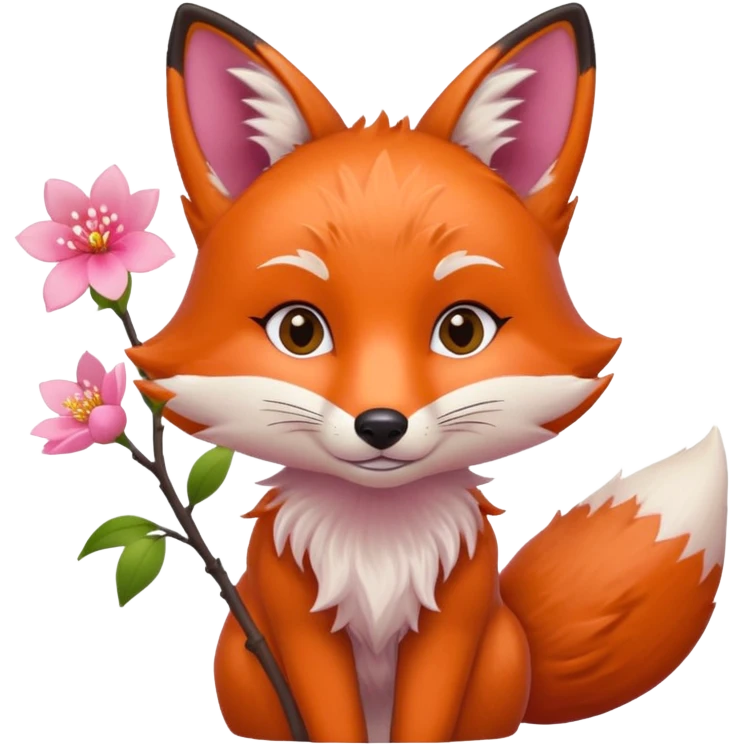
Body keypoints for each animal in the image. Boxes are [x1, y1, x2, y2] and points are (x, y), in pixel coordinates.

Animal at [126, 2, 730, 742]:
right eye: (299, 331)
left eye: (461, 330)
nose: (381, 425)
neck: (378, 545)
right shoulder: (300, 621)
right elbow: (331, 717)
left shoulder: (454, 621)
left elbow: (427, 715)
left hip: (496, 658)